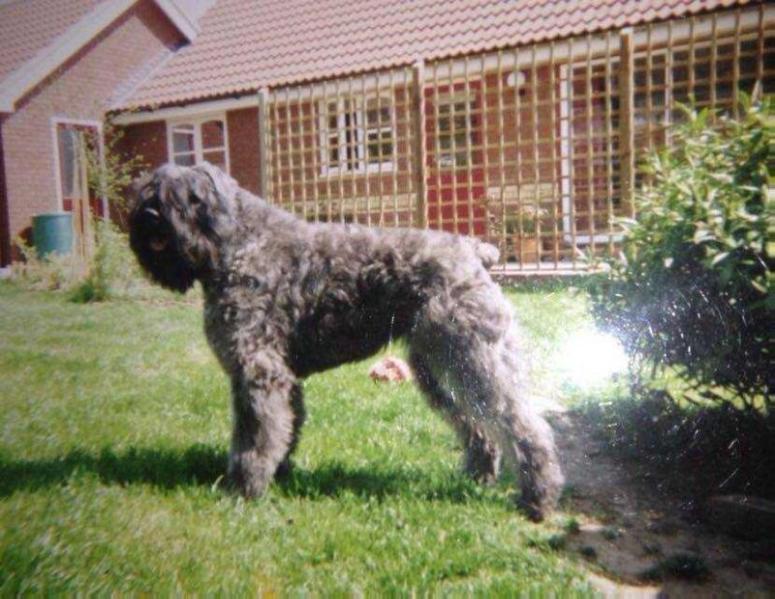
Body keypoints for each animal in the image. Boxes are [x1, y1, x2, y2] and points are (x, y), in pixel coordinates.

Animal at [127, 163, 564, 520]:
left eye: (188, 197)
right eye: (146, 190)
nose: (149, 217)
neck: (237, 242)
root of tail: (473, 250)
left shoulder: (257, 371)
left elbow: (254, 435)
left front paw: (244, 488)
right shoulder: (281, 377)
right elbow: (285, 427)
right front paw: (279, 473)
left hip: (473, 359)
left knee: (522, 425)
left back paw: (537, 499)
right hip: (440, 370)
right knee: (477, 423)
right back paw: (477, 477)